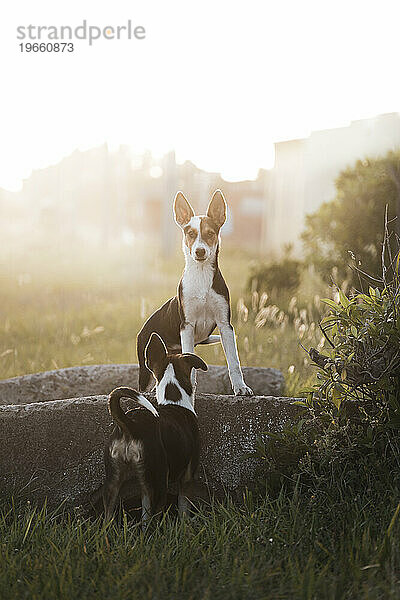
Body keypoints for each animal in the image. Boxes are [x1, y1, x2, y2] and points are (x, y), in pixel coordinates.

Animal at [101, 332, 206, 524]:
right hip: (158, 484)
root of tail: (130, 425)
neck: (174, 399)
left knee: (108, 519)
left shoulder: (144, 486)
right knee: (153, 523)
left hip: (113, 482)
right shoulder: (187, 478)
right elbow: (183, 510)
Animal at [136, 190, 252, 396]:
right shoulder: (187, 326)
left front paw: (240, 387)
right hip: (145, 366)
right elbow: (190, 363)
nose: (199, 252)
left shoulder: (225, 326)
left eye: (210, 234)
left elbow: (234, 362)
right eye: (190, 234)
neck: (201, 275)